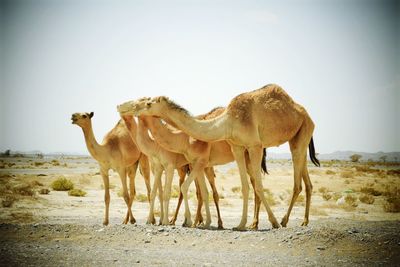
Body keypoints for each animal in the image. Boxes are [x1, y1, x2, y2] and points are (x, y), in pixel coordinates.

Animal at [117, 85, 320, 231]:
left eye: (148, 103)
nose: (129, 107)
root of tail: (302, 110)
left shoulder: (254, 146)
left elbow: (258, 186)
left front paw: (273, 222)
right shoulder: (236, 147)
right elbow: (241, 187)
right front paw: (239, 224)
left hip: (302, 130)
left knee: (295, 182)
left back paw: (283, 221)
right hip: (294, 139)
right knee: (304, 179)